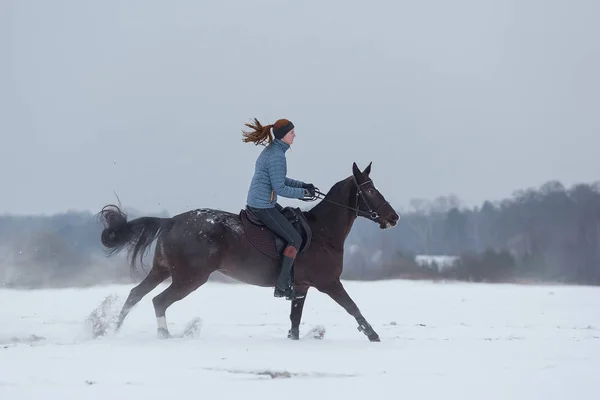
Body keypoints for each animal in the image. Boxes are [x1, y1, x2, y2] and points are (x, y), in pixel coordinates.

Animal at [98, 161, 400, 342]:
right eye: (370, 191)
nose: (393, 217)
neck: (323, 233)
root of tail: (170, 221)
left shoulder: (301, 287)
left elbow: (295, 320)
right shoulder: (329, 283)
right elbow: (352, 307)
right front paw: (373, 335)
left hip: (162, 270)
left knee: (135, 295)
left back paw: (110, 330)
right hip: (189, 278)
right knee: (158, 301)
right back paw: (163, 336)